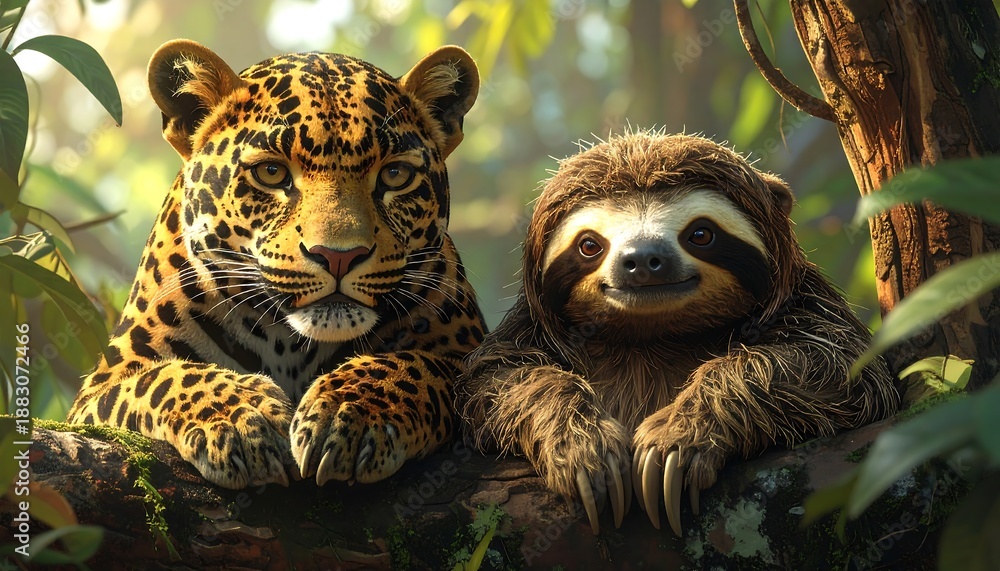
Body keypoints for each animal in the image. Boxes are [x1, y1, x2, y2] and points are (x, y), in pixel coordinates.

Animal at [66, 39, 486, 489]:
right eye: (271, 173)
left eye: (395, 175)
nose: (339, 256)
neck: (291, 343)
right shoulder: (100, 388)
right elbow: (164, 378)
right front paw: (241, 419)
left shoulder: (470, 354)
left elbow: (417, 366)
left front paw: (352, 410)